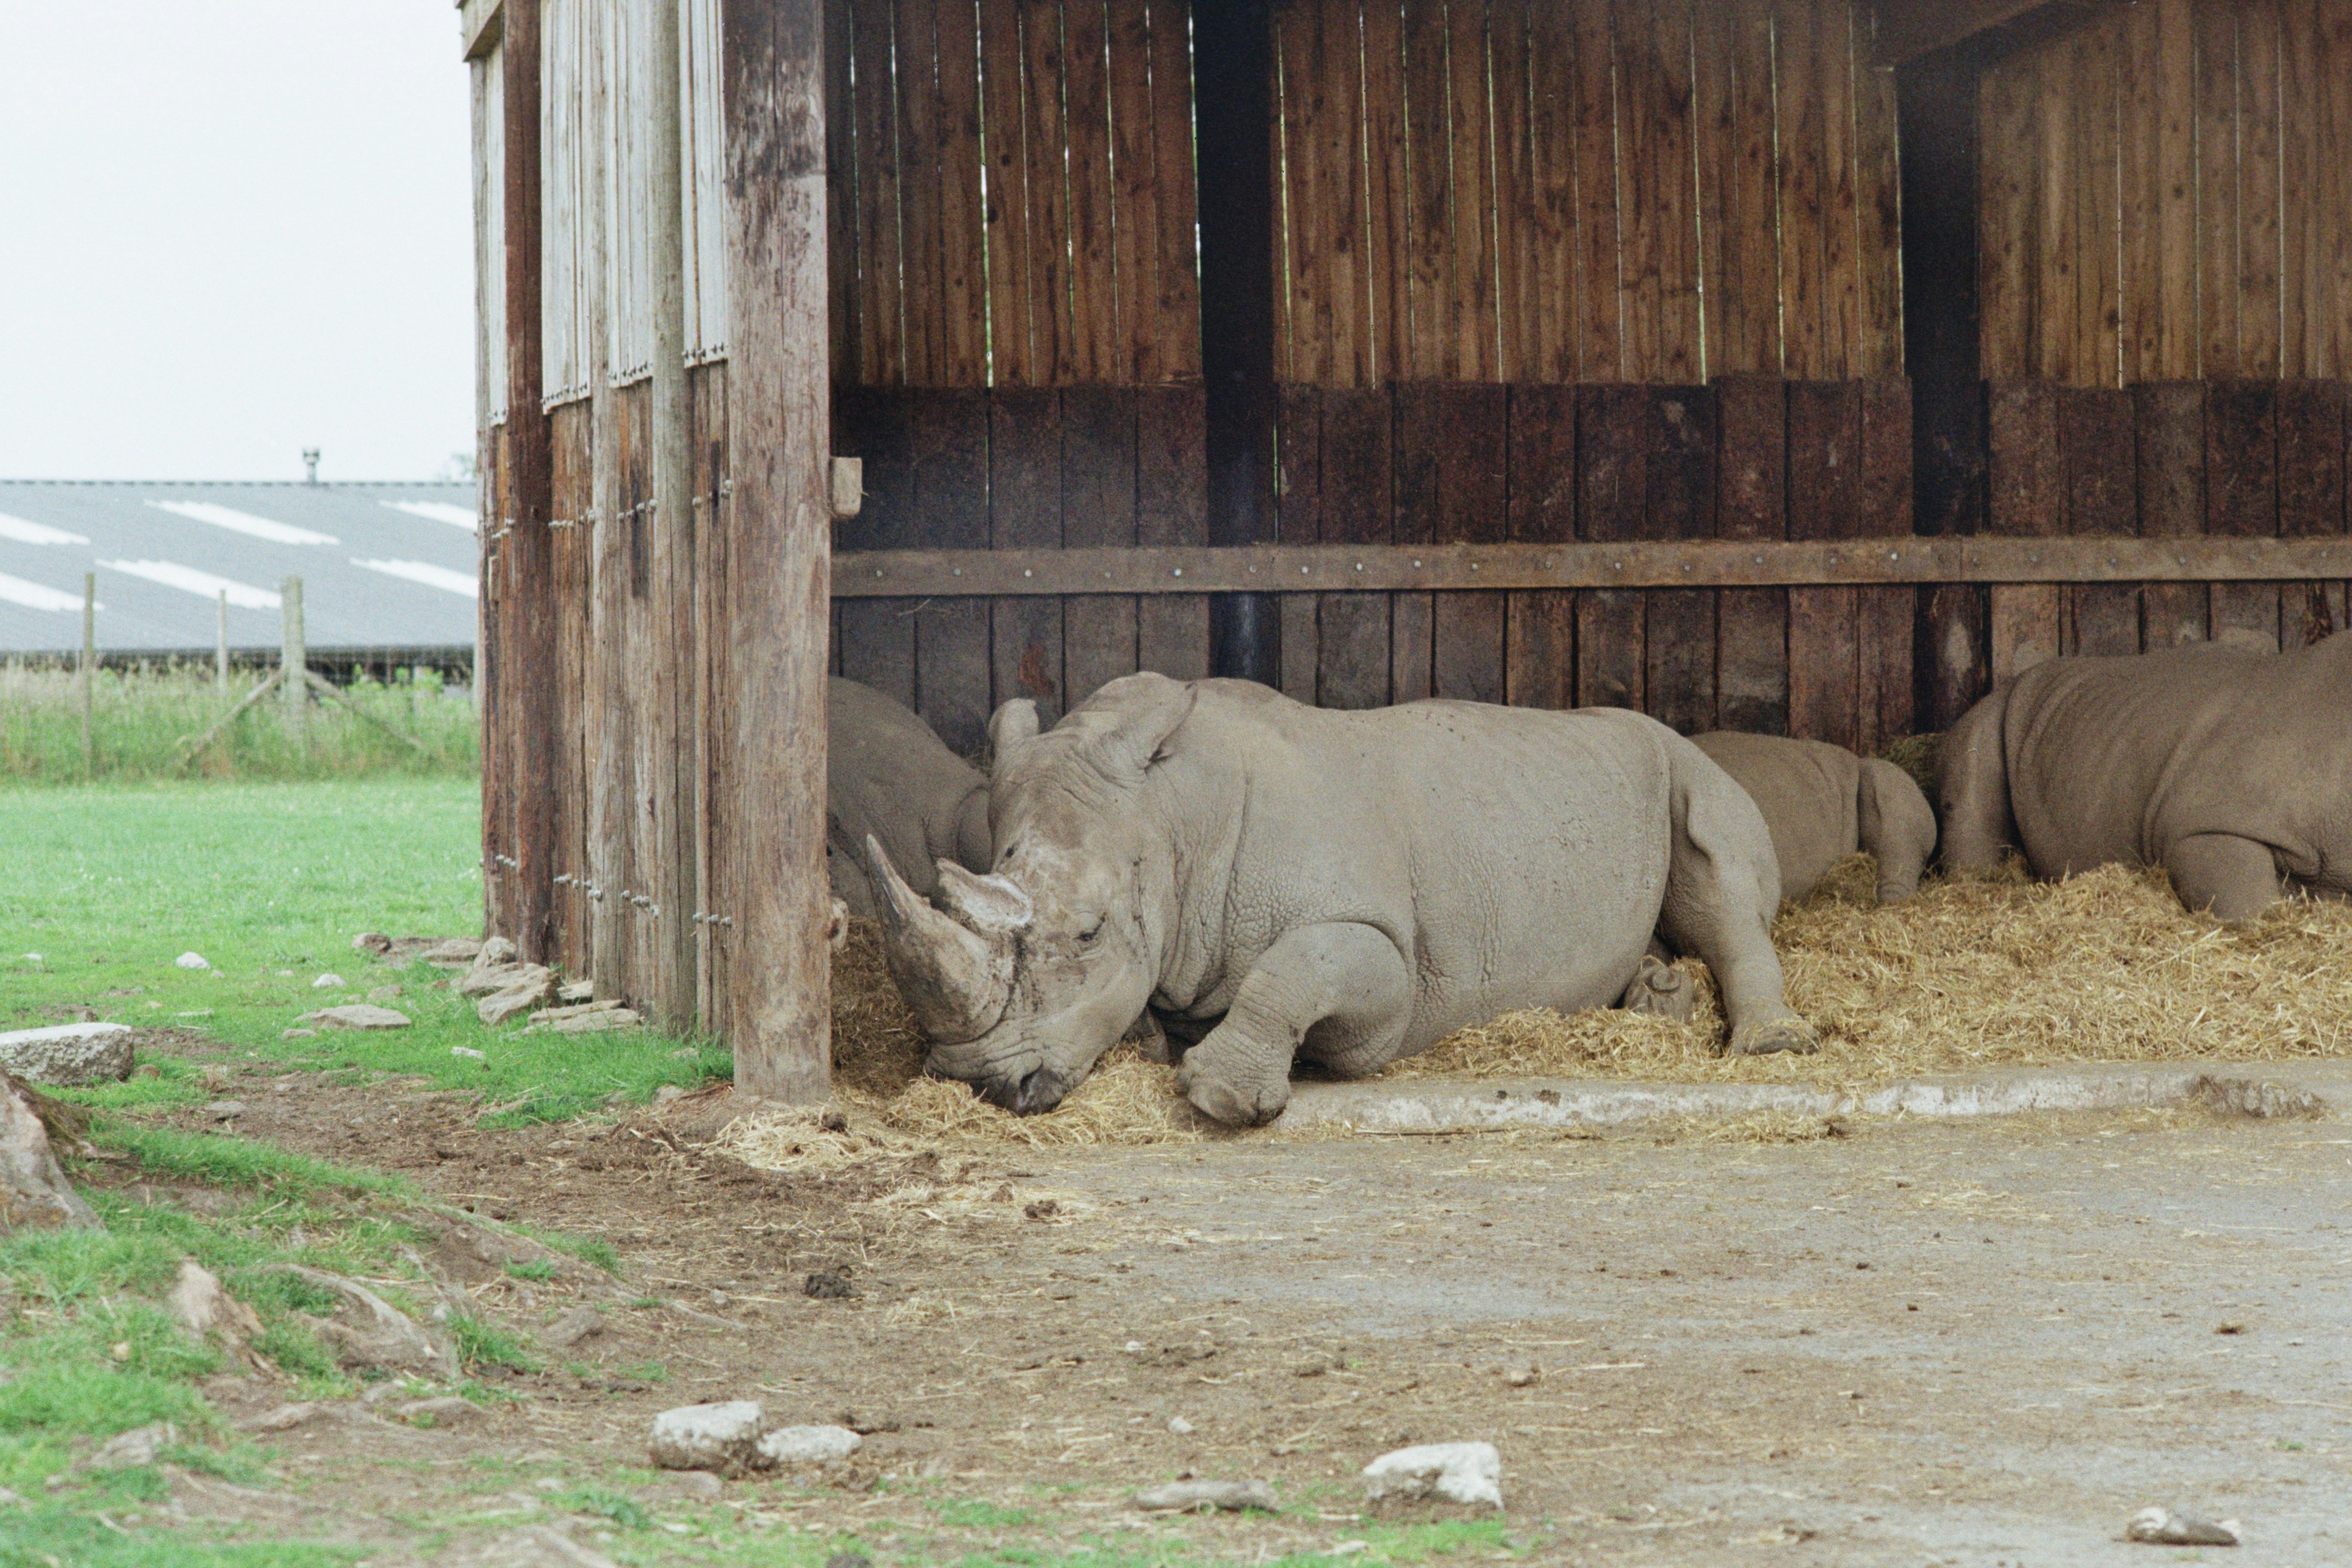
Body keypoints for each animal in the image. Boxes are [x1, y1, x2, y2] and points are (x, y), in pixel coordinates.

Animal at [862, 673, 1818, 1126]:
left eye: (1090, 933)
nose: (985, 1084)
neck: (1176, 822)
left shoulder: (1389, 963)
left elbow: (1299, 968)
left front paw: (1222, 1094)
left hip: (1681, 760)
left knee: (1717, 870)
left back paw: (1770, 1047)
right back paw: (1658, 998)